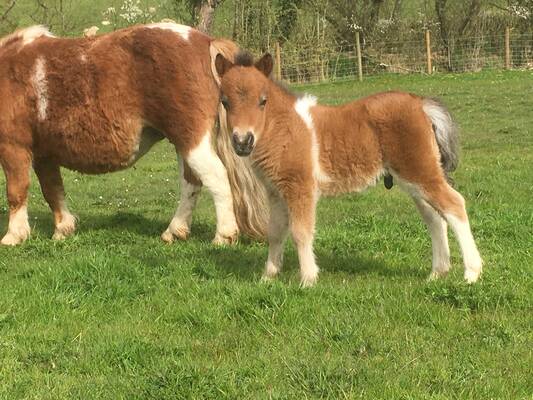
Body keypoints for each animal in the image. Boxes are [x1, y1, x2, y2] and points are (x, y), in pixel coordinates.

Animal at [215, 51, 482, 286]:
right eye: (225, 102)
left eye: (263, 101)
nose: (242, 142)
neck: (285, 128)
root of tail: (421, 104)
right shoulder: (276, 192)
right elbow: (275, 232)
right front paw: (267, 277)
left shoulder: (300, 187)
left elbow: (301, 232)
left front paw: (308, 279)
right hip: (413, 180)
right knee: (435, 218)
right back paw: (437, 273)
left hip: (420, 172)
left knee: (454, 205)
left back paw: (471, 273)